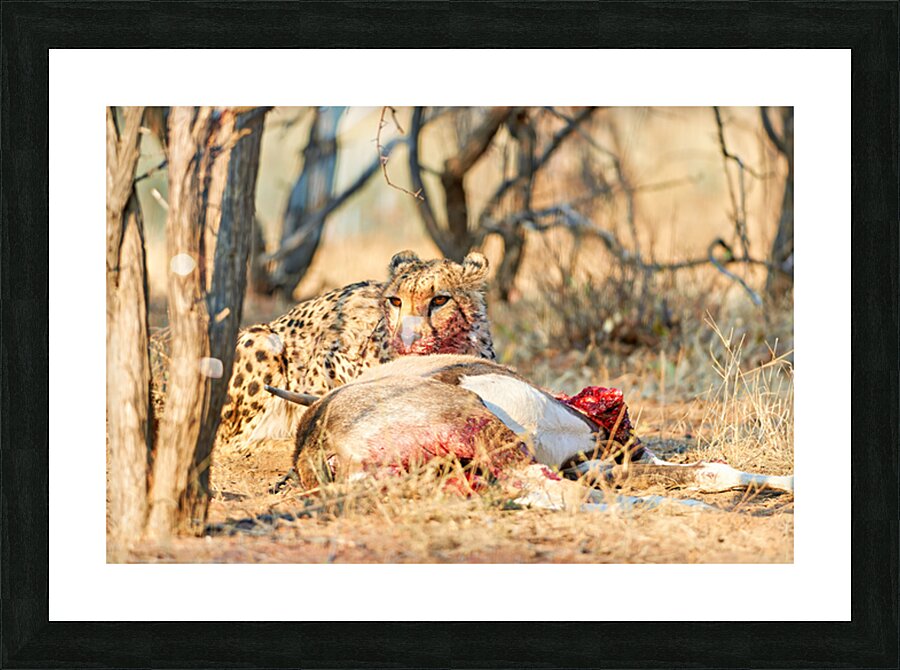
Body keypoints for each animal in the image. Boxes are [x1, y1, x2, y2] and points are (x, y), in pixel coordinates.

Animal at [213, 249, 496, 450]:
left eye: (439, 300)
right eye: (396, 301)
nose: (406, 338)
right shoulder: (325, 357)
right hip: (261, 338)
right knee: (233, 441)